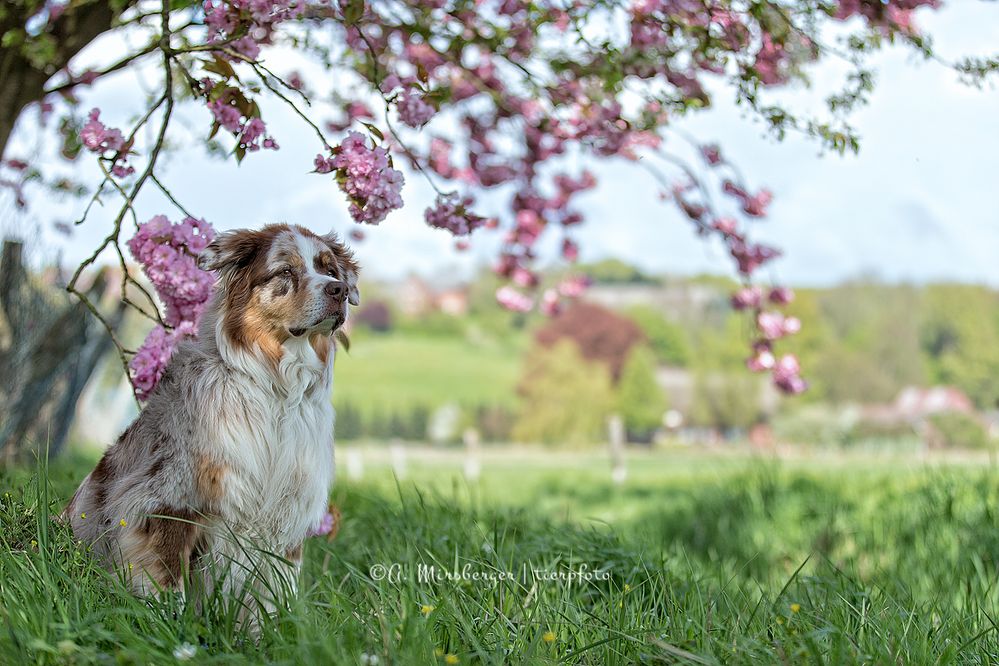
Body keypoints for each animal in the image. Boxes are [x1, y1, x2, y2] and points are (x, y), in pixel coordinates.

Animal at [63, 224, 360, 608]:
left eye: (330, 269)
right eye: (285, 271)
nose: (339, 290)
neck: (277, 388)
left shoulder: (288, 514)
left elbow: (274, 595)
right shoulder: (168, 498)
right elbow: (167, 584)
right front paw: (171, 622)